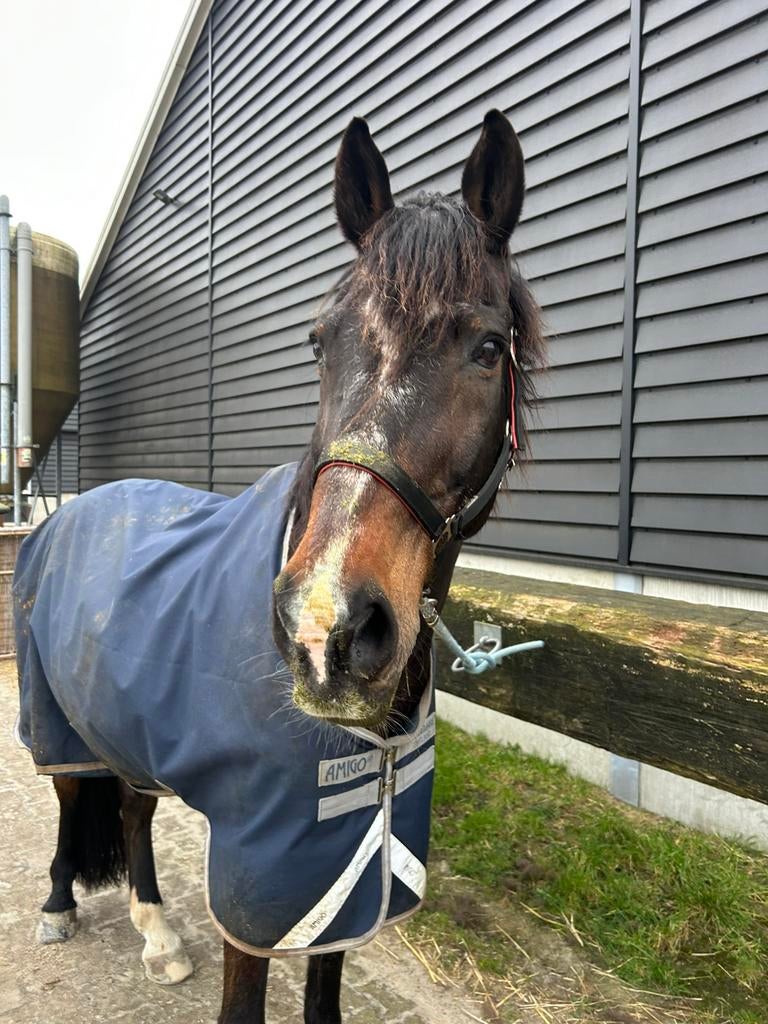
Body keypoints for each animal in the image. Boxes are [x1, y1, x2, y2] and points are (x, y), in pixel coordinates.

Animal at [15, 109, 544, 1023]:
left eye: (486, 348)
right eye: (319, 343)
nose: (326, 630)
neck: (368, 743)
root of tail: (69, 512)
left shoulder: (341, 871)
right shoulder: (260, 886)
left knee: (132, 808)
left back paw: (157, 932)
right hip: (57, 722)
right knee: (74, 795)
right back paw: (57, 907)